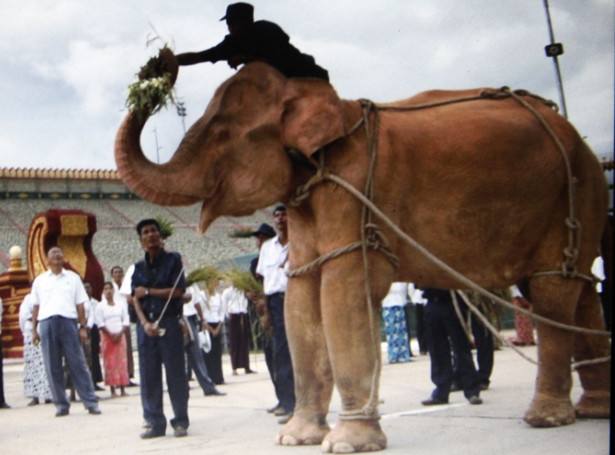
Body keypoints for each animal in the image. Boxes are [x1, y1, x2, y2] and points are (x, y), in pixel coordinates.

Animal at [115, 51, 612, 454]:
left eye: (221, 134)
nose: (161, 63)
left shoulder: (350, 190)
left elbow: (341, 293)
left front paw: (347, 443)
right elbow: (301, 300)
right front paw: (296, 438)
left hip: (578, 188)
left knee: (553, 292)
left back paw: (546, 418)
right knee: (579, 290)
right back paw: (593, 409)